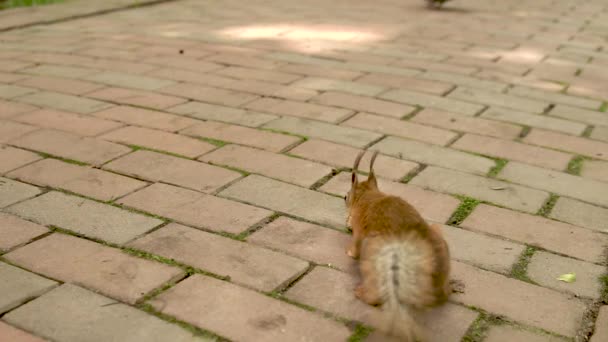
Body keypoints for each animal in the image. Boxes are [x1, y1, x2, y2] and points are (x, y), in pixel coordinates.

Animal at [342, 151, 452, 340]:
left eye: (346, 196)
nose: (344, 200)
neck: (370, 196)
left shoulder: (358, 232)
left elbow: (354, 248)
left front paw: (349, 252)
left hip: (373, 253)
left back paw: (362, 293)